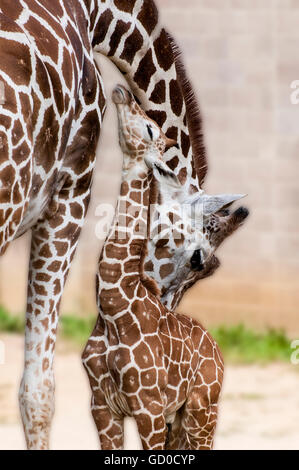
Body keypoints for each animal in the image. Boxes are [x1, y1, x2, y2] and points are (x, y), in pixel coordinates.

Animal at [83, 85, 224, 452]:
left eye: (150, 128)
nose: (121, 91)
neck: (114, 305)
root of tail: (217, 350)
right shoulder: (102, 406)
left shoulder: (149, 407)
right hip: (179, 419)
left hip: (202, 410)